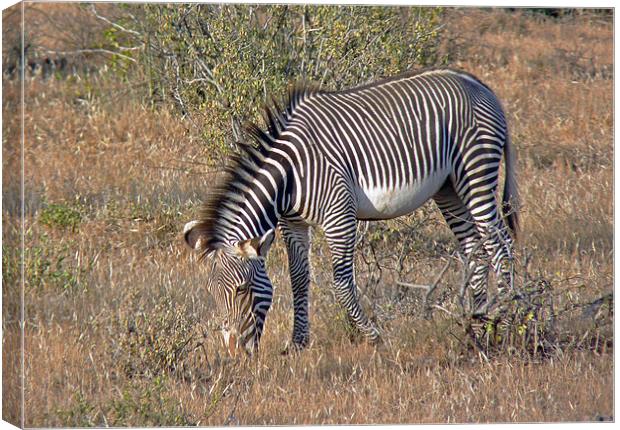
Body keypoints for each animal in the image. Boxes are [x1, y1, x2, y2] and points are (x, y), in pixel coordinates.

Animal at [183, 68, 520, 356]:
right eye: (212, 292)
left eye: (242, 290)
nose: (233, 353)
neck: (289, 175)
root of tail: (476, 82)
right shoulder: (293, 223)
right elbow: (298, 278)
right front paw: (298, 343)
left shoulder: (339, 216)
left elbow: (342, 282)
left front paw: (374, 338)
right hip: (448, 187)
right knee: (474, 246)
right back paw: (477, 322)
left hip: (476, 170)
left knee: (499, 243)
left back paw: (506, 320)